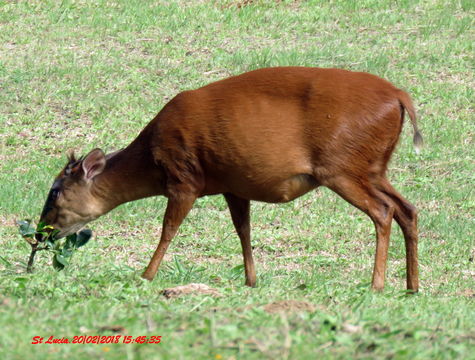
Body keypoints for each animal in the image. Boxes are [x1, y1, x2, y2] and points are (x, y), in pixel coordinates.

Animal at [38, 67, 424, 292]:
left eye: (54, 192)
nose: (41, 233)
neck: (151, 157)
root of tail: (399, 97)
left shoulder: (185, 178)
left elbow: (169, 229)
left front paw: (146, 275)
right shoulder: (233, 185)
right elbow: (243, 230)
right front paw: (251, 281)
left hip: (342, 166)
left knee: (383, 211)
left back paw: (377, 285)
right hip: (372, 167)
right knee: (408, 208)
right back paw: (412, 285)